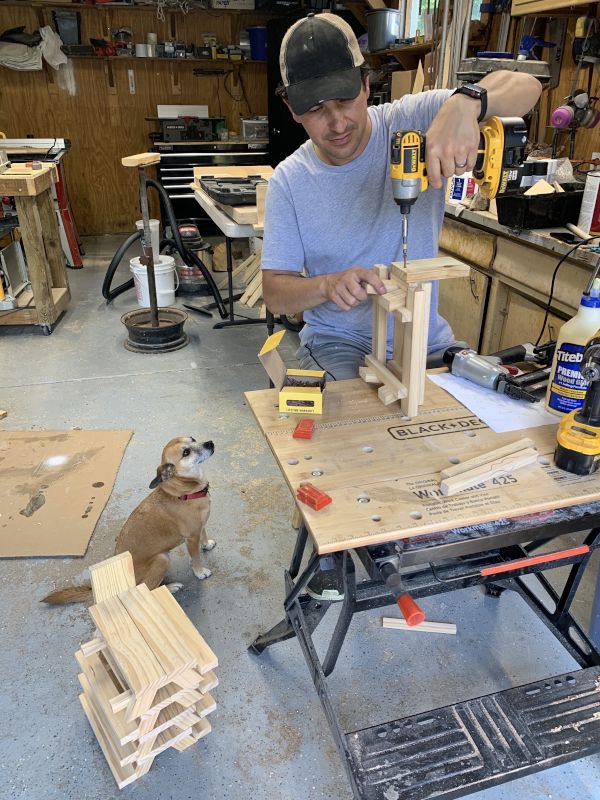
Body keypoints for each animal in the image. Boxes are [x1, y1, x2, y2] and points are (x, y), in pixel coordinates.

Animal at [42, 436, 215, 605]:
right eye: (186, 452)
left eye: (193, 439)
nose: (210, 443)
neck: (185, 492)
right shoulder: (191, 537)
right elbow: (196, 558)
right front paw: (200, 572)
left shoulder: (200, 527)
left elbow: (204, 536)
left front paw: (206, 544)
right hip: (162, 559)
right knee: (147, 588)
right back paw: (171, 587)